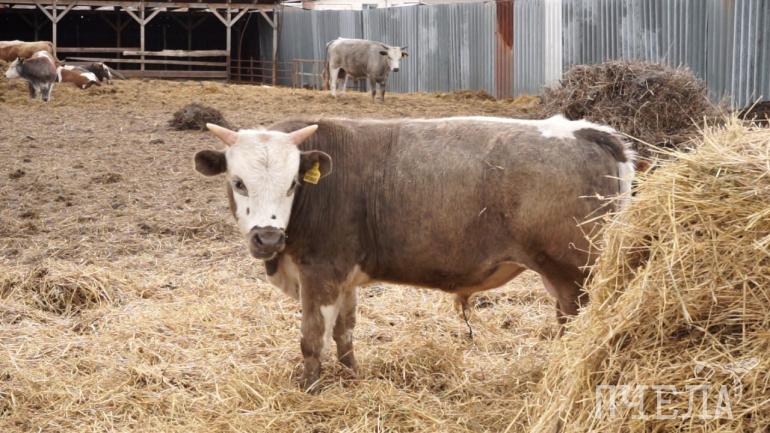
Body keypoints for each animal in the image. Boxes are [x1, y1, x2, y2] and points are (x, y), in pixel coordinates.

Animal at [193, 115, 635, 392]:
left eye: (291, 184)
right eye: (238, 182)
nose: (267, 238)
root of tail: (586, 131)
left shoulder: (320, 271)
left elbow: (312, 338)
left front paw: (310, 389)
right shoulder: (345, 277)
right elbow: (345, 333)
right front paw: (353, 377)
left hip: (574, 276)